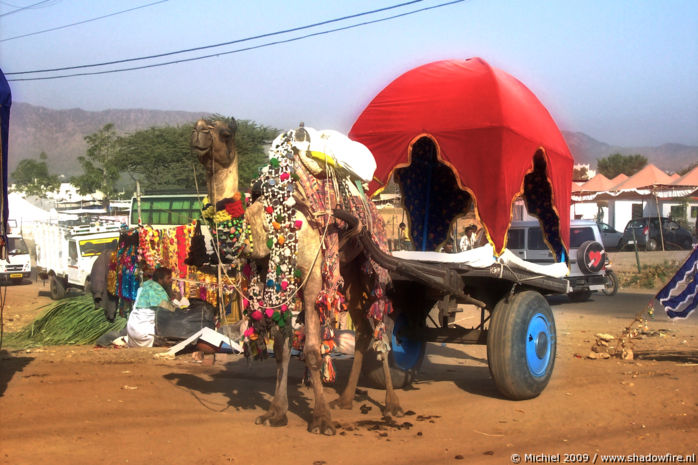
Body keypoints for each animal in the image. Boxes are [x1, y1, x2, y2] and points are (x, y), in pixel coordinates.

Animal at [192, 118, 402, 434]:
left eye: (225, 133)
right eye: (195, 126)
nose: (199, 134)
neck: (268, 221)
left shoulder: (312, 274)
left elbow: (313, 351)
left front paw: (321, 419)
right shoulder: (277, 277)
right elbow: (281, 349)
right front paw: (276, 413)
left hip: (372, 260)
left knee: (379, 325)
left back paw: (391, 406)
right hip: (346, 270)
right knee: (364, 329)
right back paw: (345, 400)